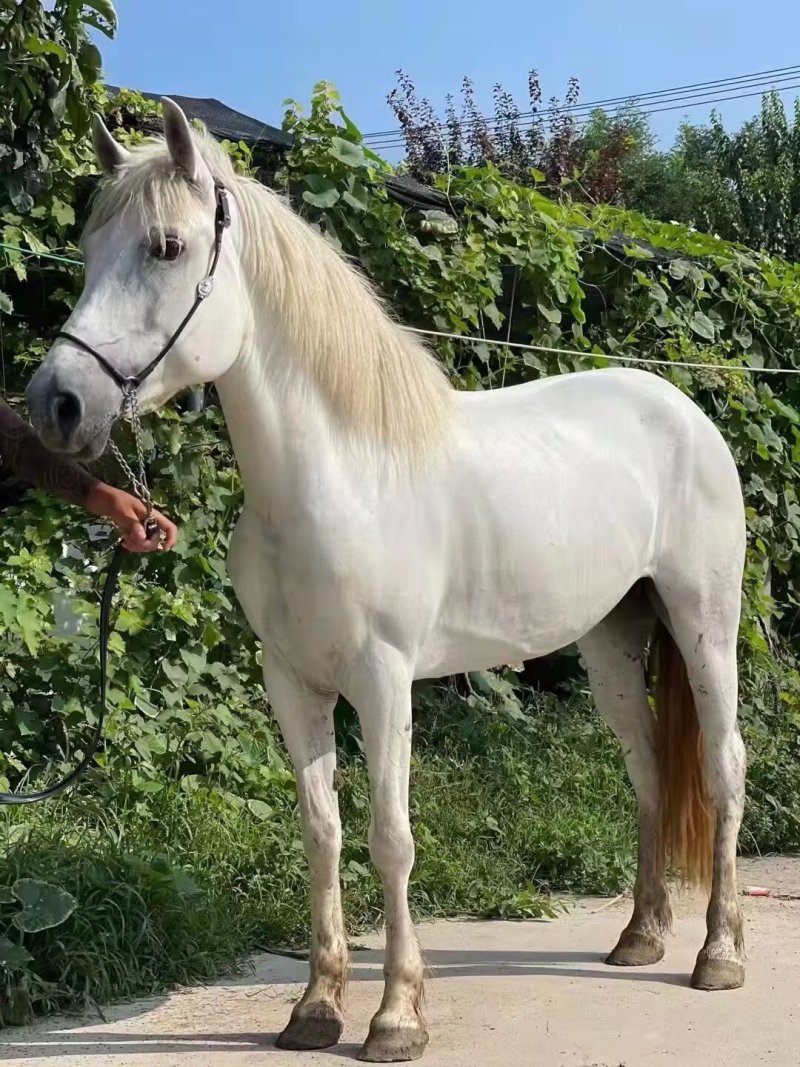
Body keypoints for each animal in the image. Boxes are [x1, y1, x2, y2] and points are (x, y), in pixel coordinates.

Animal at [26, 100, 747, 1062]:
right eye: (90, 241)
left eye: (166, 247)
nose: (56, 403)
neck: (335, 478)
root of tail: (687, 413)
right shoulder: (293, 682)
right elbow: (323, 835)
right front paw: (315, 1008)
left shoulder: (384, 680)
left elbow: (391, 838)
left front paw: (397, 1014)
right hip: (611, 643)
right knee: (649, 774)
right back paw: (639, 936)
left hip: (704, 623)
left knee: (723, 765)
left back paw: (718, 954)